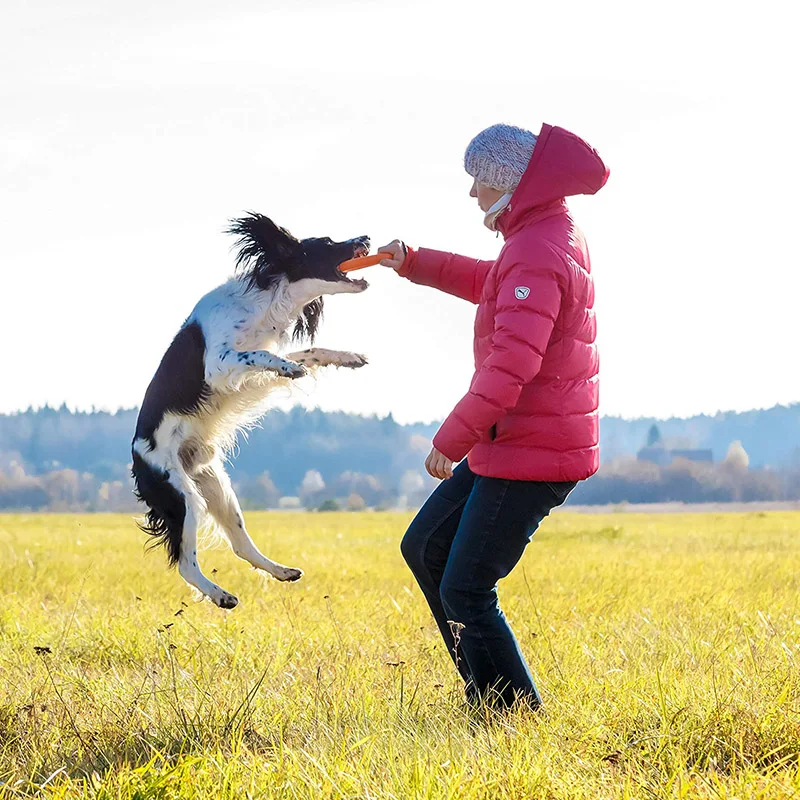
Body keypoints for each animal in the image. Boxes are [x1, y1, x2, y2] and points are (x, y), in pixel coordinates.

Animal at [132, 216, 368, 608]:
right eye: (328, 241)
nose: (366, 236)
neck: (265, 298)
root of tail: (136, 458)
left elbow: (307, 352)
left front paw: (346, 357)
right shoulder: (218, 363)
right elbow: (263, 355)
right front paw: (289, 368)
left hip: (217, 488)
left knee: (241, 545)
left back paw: (282, 571)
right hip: (184, 497)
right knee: (186, 564)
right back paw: (221, 596)